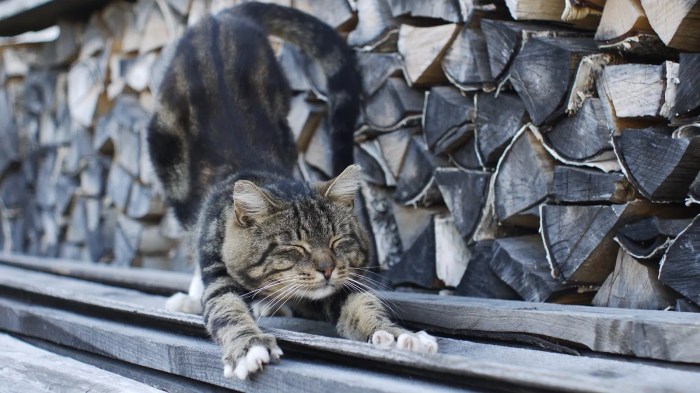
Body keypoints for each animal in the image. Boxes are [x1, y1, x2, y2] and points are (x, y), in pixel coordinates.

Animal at [148, 0, 438, 380]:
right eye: (295, 247)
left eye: (338, 242)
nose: (326, 269)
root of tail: (219, 17)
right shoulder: (219, 274)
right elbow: (226, 309)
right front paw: (249, 346)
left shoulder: (339, 286)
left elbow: (362, 303)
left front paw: (397, 335)